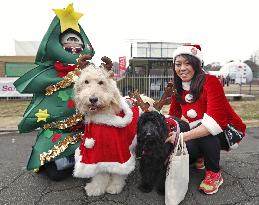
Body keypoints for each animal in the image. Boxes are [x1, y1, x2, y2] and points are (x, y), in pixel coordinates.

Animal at [73, 55, 144, 196]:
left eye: (101, 82)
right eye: (86, 82)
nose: (93, 99)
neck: (102, 118)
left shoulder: (120, 151)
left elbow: (118, 171)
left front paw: (115, 186)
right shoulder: (96, 153)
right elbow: (100, 171)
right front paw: (96, 187)